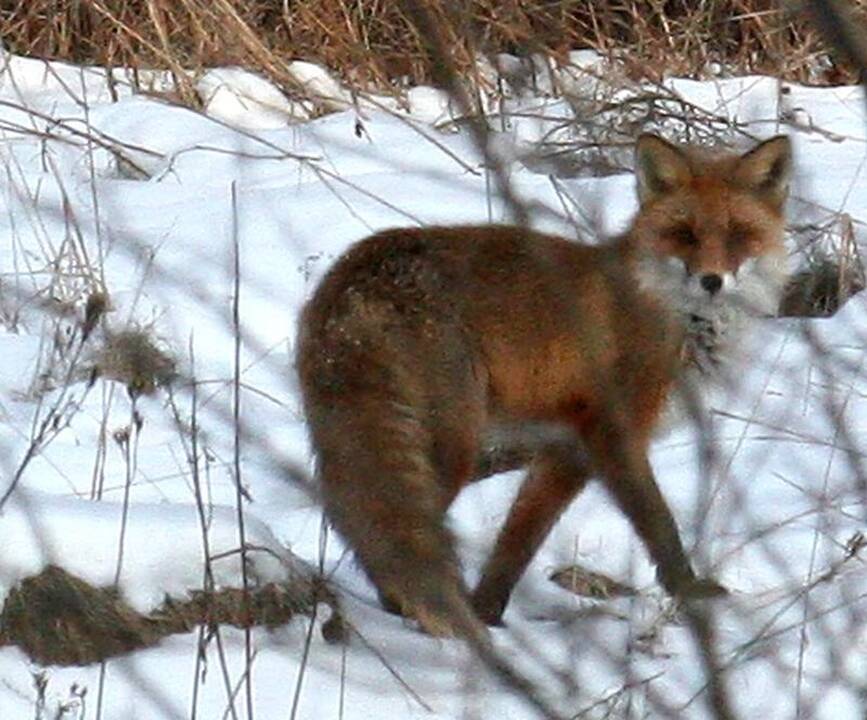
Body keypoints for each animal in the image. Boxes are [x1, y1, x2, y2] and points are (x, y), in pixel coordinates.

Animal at [296, 132, 792, 640]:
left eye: (737, 234)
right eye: (685, 233)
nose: (712, 280)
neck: (668, 309)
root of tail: (354, 276)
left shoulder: (566, 446)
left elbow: (519, 537)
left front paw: (487, 611)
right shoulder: (612, 433)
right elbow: (659, 523)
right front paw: (689, 591)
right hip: (451, 446)